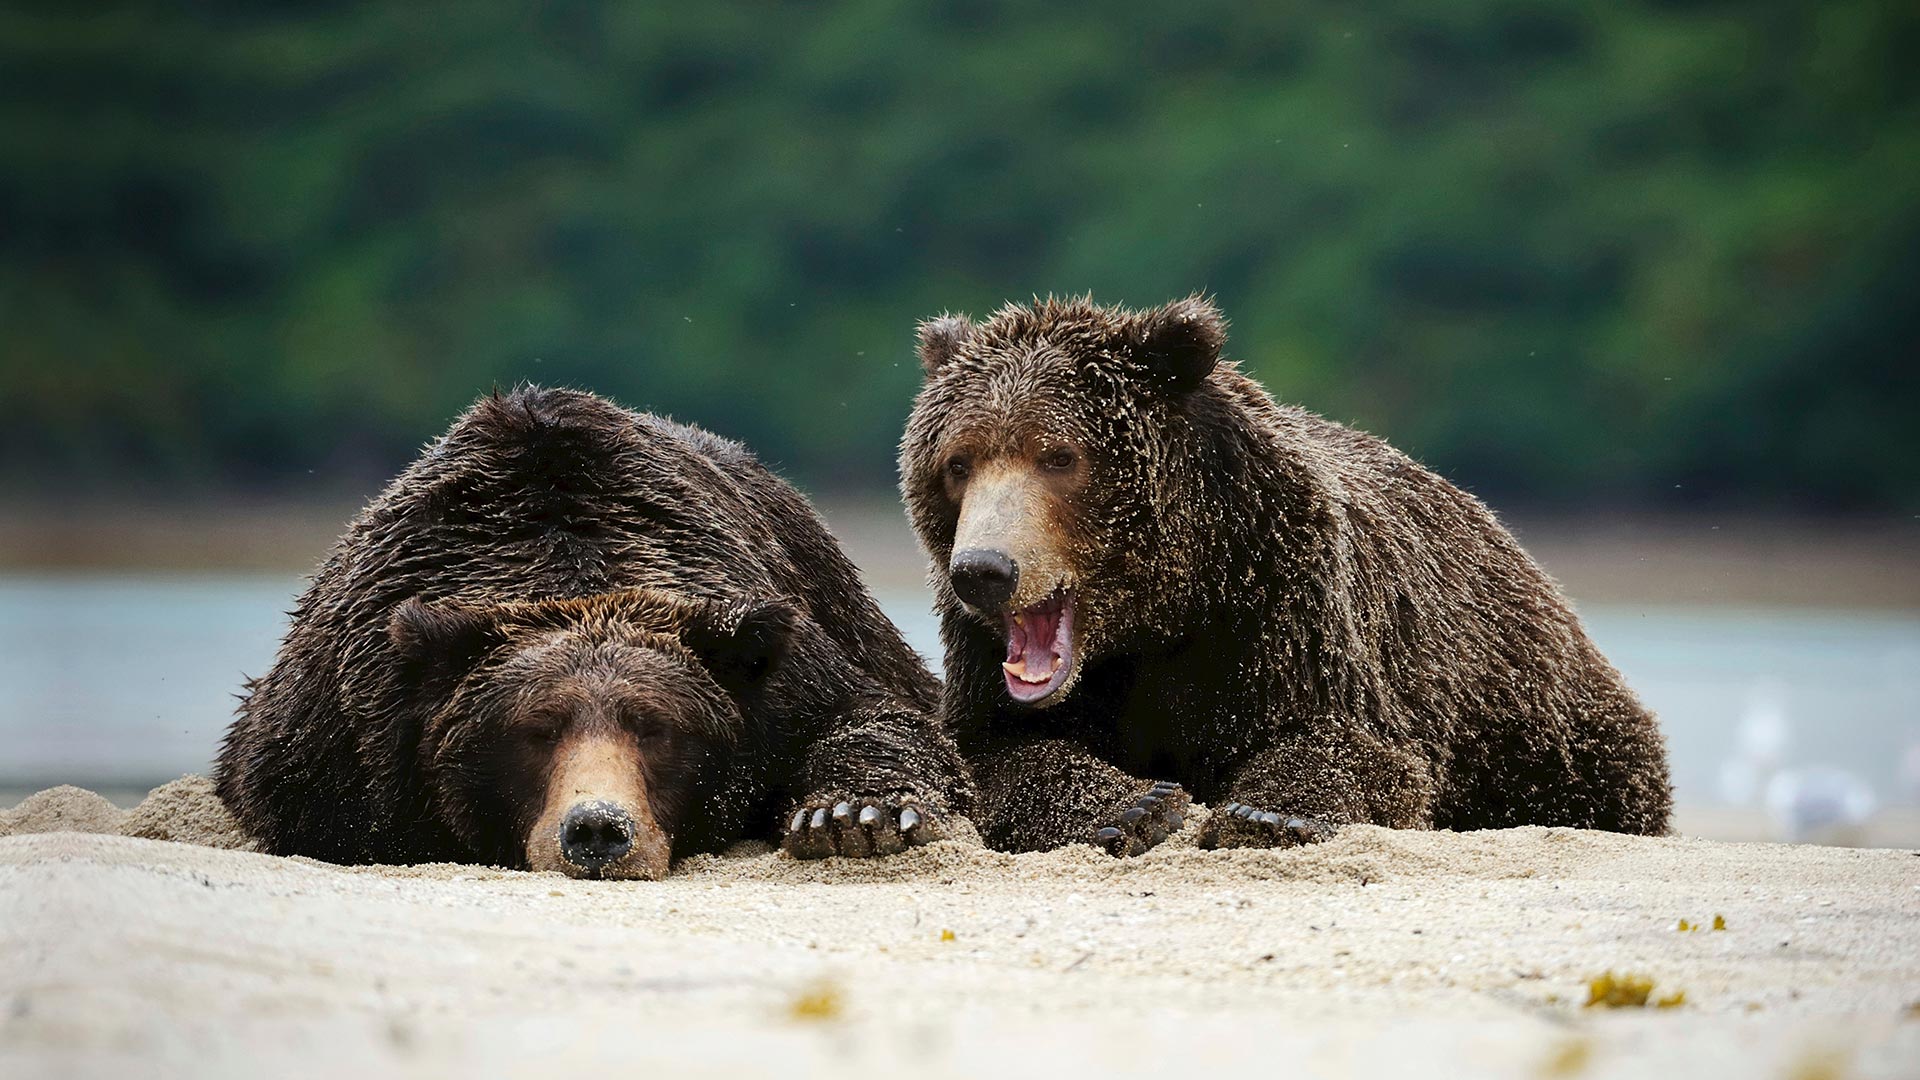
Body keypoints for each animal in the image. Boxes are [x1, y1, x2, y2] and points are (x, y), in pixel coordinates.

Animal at [217, 385, 972, 878]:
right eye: (535, 729)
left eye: (657, 727)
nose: (598, 830)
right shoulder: (349, 726)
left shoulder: (776, 668)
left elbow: (870, 716)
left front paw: (852, 817)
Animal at [899, 295, 1671, 855]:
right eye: (958, 462)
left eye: (1058, 456)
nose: (985, 570)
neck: (1163, 610)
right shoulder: (985, 659)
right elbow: (989, 751)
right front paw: (1133, 804)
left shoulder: (1283, 606)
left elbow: (1356, 747)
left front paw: (1267, 813)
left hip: (1540, 724)